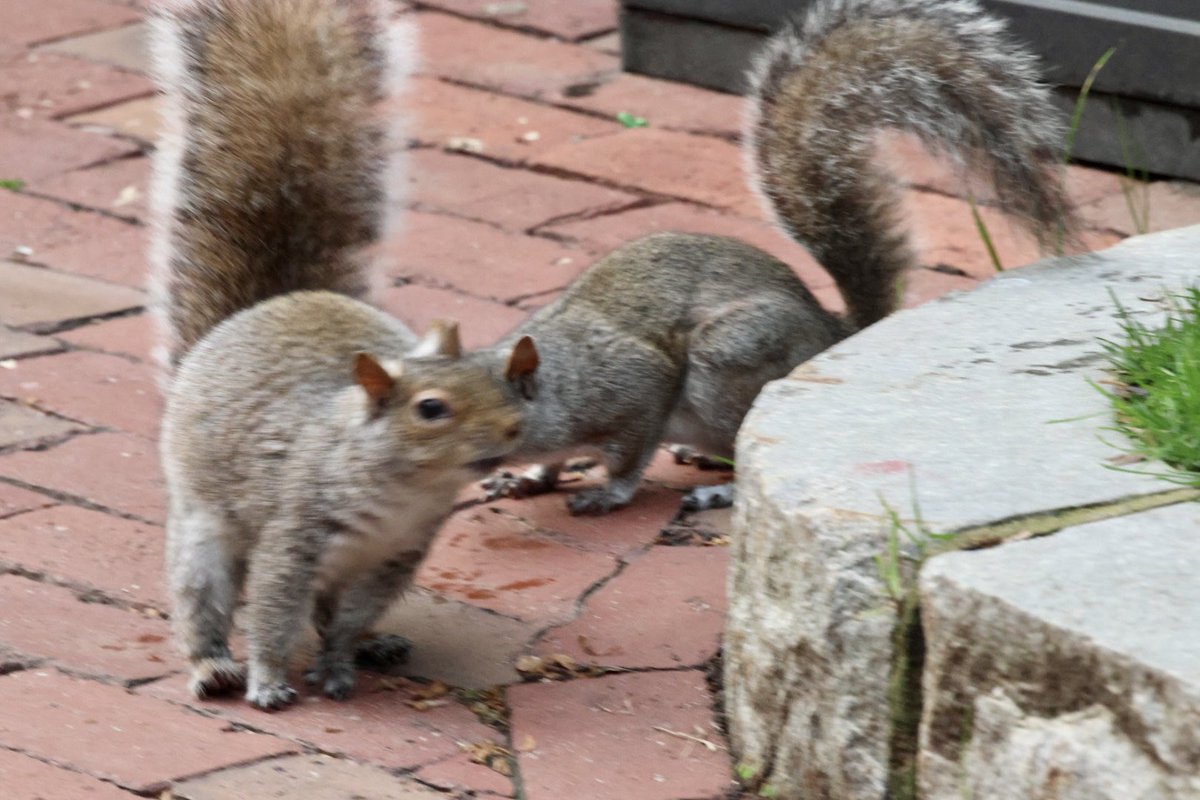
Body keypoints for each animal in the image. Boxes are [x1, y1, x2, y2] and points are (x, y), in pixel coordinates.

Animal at [149, 0, 538, 710]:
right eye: (431, 409)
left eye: (500, 382)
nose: (512, 431)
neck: (401, 495)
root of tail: (249, 316)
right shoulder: (292, 537)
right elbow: (274, 615)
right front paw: (270, 681)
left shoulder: (396, 557)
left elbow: (350, 617)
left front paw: (337, 663)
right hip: (203, 531)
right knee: (204, 600)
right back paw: (213, 665)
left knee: (333, 613)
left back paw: (374, 647)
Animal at [483, 0, 1078, 515]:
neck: (559, 378)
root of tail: (832, 335)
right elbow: (552, 463)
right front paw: (528, 478)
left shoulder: (632, 388)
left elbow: (632, 450)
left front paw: (607, 492)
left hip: (728, 361)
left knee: (736, 436)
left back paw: (719, 488)